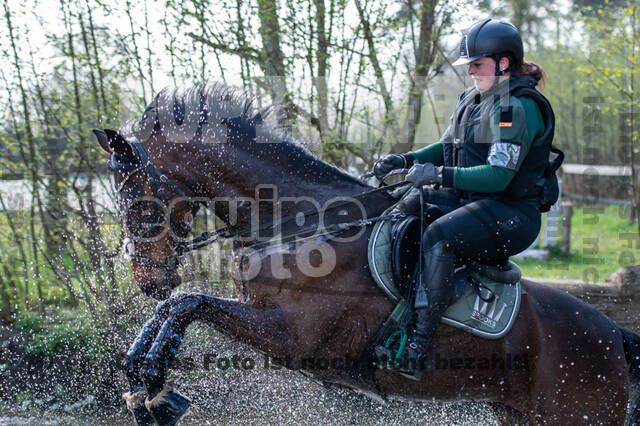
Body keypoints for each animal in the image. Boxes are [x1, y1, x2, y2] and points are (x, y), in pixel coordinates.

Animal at [94, 83, 640, 426]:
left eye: (135, 199)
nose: (146, 280)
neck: (301, 220)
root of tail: (614, 335)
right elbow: (176, 307)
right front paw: (143, 386)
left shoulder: (297, 338)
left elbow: (188, 304)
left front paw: (154, 389)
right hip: (517, 413)